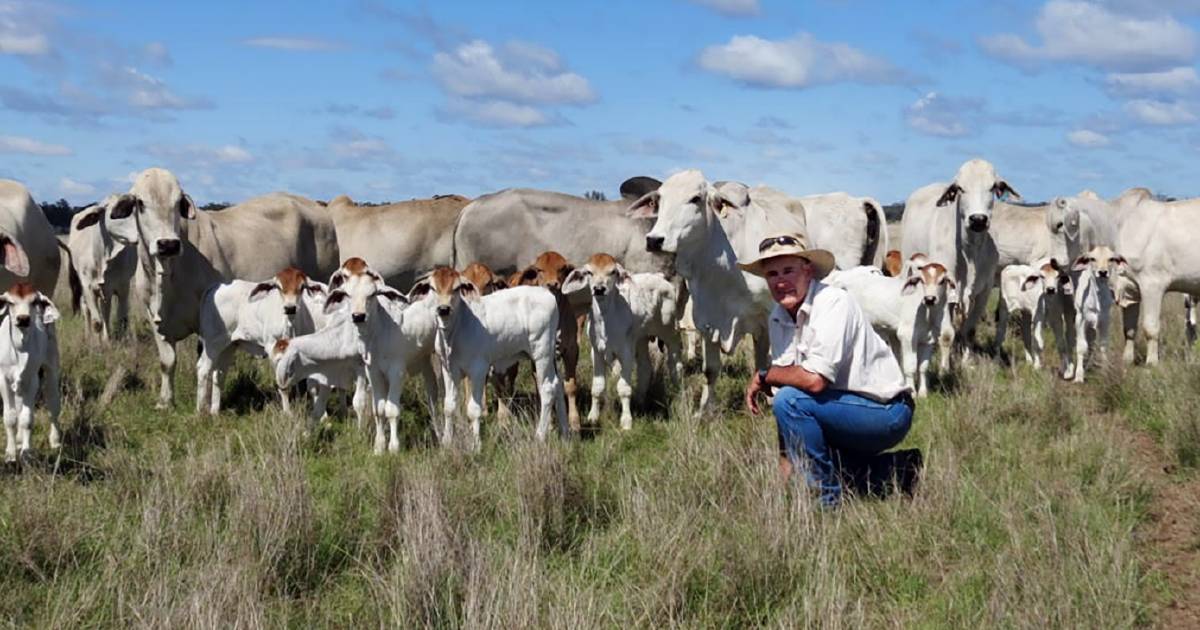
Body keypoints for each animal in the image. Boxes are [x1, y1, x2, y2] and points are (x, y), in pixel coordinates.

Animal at [0, 282, 60, 458]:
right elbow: (10, 417)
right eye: (10, 302)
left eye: (34, 302)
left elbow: (27, 419)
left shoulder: (33, 379)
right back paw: (19, 440)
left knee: (53, 405)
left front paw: (26, 452)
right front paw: (11, 453)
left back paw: (55, 441)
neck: (20, 349)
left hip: (51, 367)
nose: (23, 319)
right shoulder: (3, 379)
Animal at [559, 253, 681, 429]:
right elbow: (597, 386)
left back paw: (680, 394)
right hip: (641, 339)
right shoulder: (596, 352)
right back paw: (640, 402)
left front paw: (626, 421)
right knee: (645, 368)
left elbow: (623, 388)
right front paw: (593, 416)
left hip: (670, 332)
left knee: (675, 365)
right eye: (589, 272)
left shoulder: (626, 353)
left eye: (613, 272)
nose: (599, 289)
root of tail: (660, 277)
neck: (606, 320)